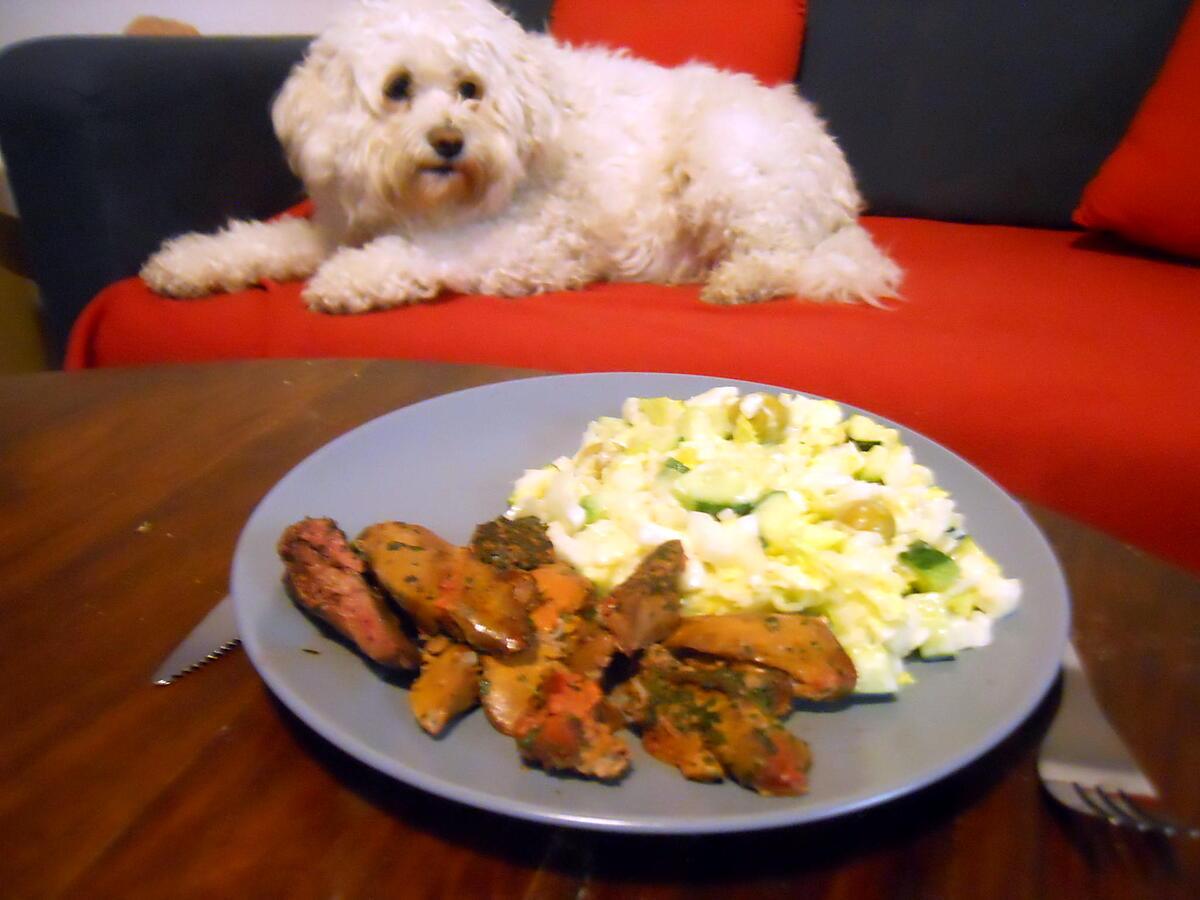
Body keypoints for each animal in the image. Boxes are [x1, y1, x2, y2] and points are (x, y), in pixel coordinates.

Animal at [142, 0, 902, 312]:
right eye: (398, 88)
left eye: (470, 89)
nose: (450, 142)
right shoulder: (336, 225)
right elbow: (261, 241)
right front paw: (189, 263)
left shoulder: (529, 244)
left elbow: (422, 256)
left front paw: (350, 280)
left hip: (727, 159)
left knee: (782, 258)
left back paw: (740, 282)